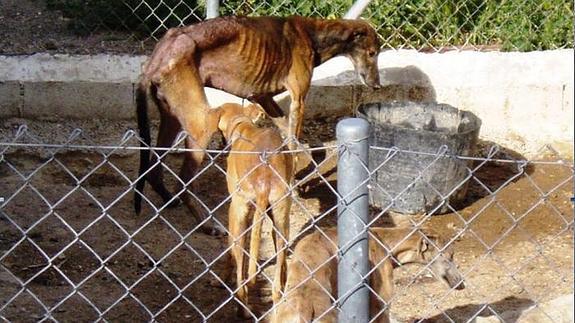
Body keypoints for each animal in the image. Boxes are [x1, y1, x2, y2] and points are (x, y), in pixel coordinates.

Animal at [133, 15, 380, 235]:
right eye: (372, 53)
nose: (377, 85)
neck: (312, 34)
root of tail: (158, 56)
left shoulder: (264, 98)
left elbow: (291, 140)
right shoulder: (298, 100)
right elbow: (293, 143)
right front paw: (295, 185)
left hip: (171, 118)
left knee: (154, 173)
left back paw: (169, 201)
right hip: (200, 125)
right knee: (184, 185)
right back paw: (207, 225)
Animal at [212, 104, 294, 318]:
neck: (244, 126)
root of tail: (264, 177)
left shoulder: (236, 212)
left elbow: (229, 253)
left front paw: (222, 277)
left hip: (239, 216)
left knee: (241, 274)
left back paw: (243, 309)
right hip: (281, 218)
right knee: (277, 279)